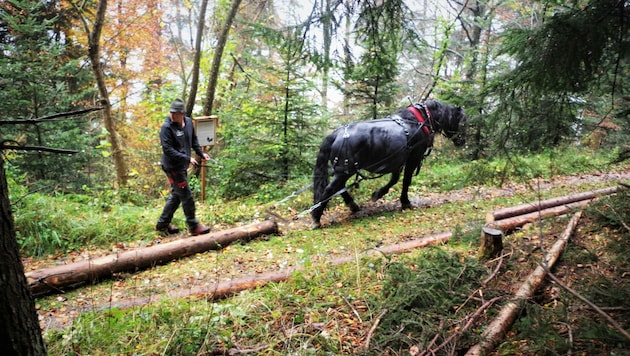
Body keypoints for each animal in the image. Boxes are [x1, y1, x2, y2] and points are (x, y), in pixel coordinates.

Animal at [312, 100, 466, 228]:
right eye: (461, 122)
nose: (462, 141)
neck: (418, 121)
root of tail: (335, 134)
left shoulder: (398, 160)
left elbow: (394, 179)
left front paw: (378, 194)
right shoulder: (413, 157)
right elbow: (406, 181)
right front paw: (405, 202)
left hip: (343, 171)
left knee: (339, 188)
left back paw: (353, 206)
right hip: (345, 170)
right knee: (330, 189)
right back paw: (316, 218)